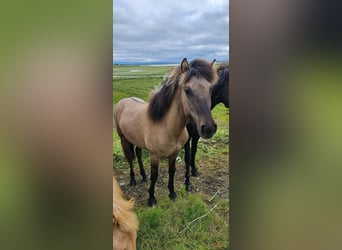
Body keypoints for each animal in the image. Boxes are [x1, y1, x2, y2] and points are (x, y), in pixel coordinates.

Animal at [114, 58, 216, 207]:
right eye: (187, 90)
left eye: (210, 89)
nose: (208, 128)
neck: (166, 127)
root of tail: (122, 102)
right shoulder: (155, 156)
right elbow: (155, 176)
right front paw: (151, 199)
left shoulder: (174, 153)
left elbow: (171, 171)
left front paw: (172, 193)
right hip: (124, 139)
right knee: (130, 159)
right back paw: (133, 180)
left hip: (137, 140)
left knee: (138, 154)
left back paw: (143, 176)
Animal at [183, 63, 228, 191]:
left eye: (211, 89)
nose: (209, 128)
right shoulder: (187, 138)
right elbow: (187, 157)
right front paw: (187, 183)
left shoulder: (197, 135)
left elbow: (194, 152)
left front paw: (194, 171)